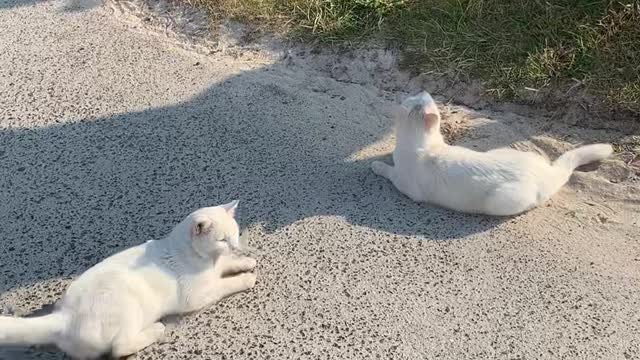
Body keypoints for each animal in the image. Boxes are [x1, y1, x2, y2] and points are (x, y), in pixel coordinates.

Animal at [0, 201, 255, 358]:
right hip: (128, 307)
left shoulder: (216, 267)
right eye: (222, 239)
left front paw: (246, 261)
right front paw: (247, 278)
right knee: (119, 347)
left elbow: (227, 264)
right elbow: (224, 285)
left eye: (235, 234)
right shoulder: (198, 296)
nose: (235, 246)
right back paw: (156, 329)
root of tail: (63, 317)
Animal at [372, 92, 612, 217]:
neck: (424, 144)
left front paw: (377, 165)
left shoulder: (406, 185)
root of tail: (548, 172)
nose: (424, 91)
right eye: (416, 95)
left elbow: (389, 172)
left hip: (502, 200)